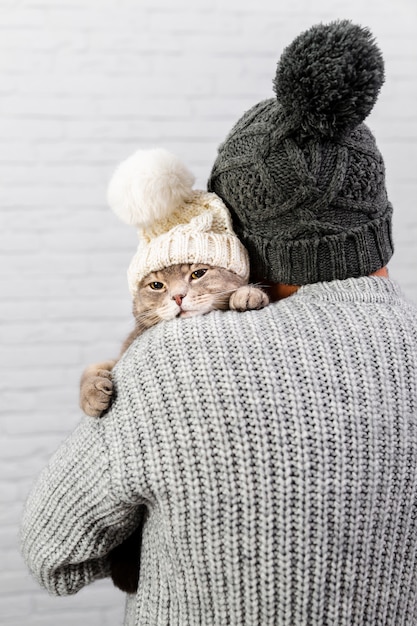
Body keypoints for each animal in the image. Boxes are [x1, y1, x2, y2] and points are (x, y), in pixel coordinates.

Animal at [78, 260, 268, 592]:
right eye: (157, 285)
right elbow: (93, 370)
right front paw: (93, 396)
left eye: (198, 273)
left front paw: (248, 294)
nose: (178, 297)